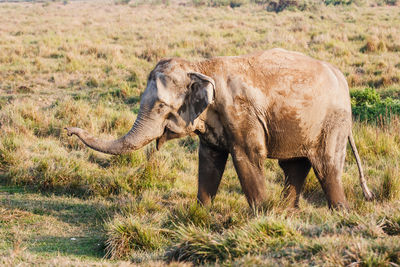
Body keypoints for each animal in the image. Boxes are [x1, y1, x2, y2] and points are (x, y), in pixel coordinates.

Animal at [64, 48, 374, 209]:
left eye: (162, 107)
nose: (68, 130)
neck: (201, 65)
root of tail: (341, 76)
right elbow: (209, 160)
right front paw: (200, 214)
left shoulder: (241, 113)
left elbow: (248, 157)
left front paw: (261, 216)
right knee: (295, 166)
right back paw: (287, 211)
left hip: (333, 122)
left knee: (326, 166)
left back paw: (340, 213)